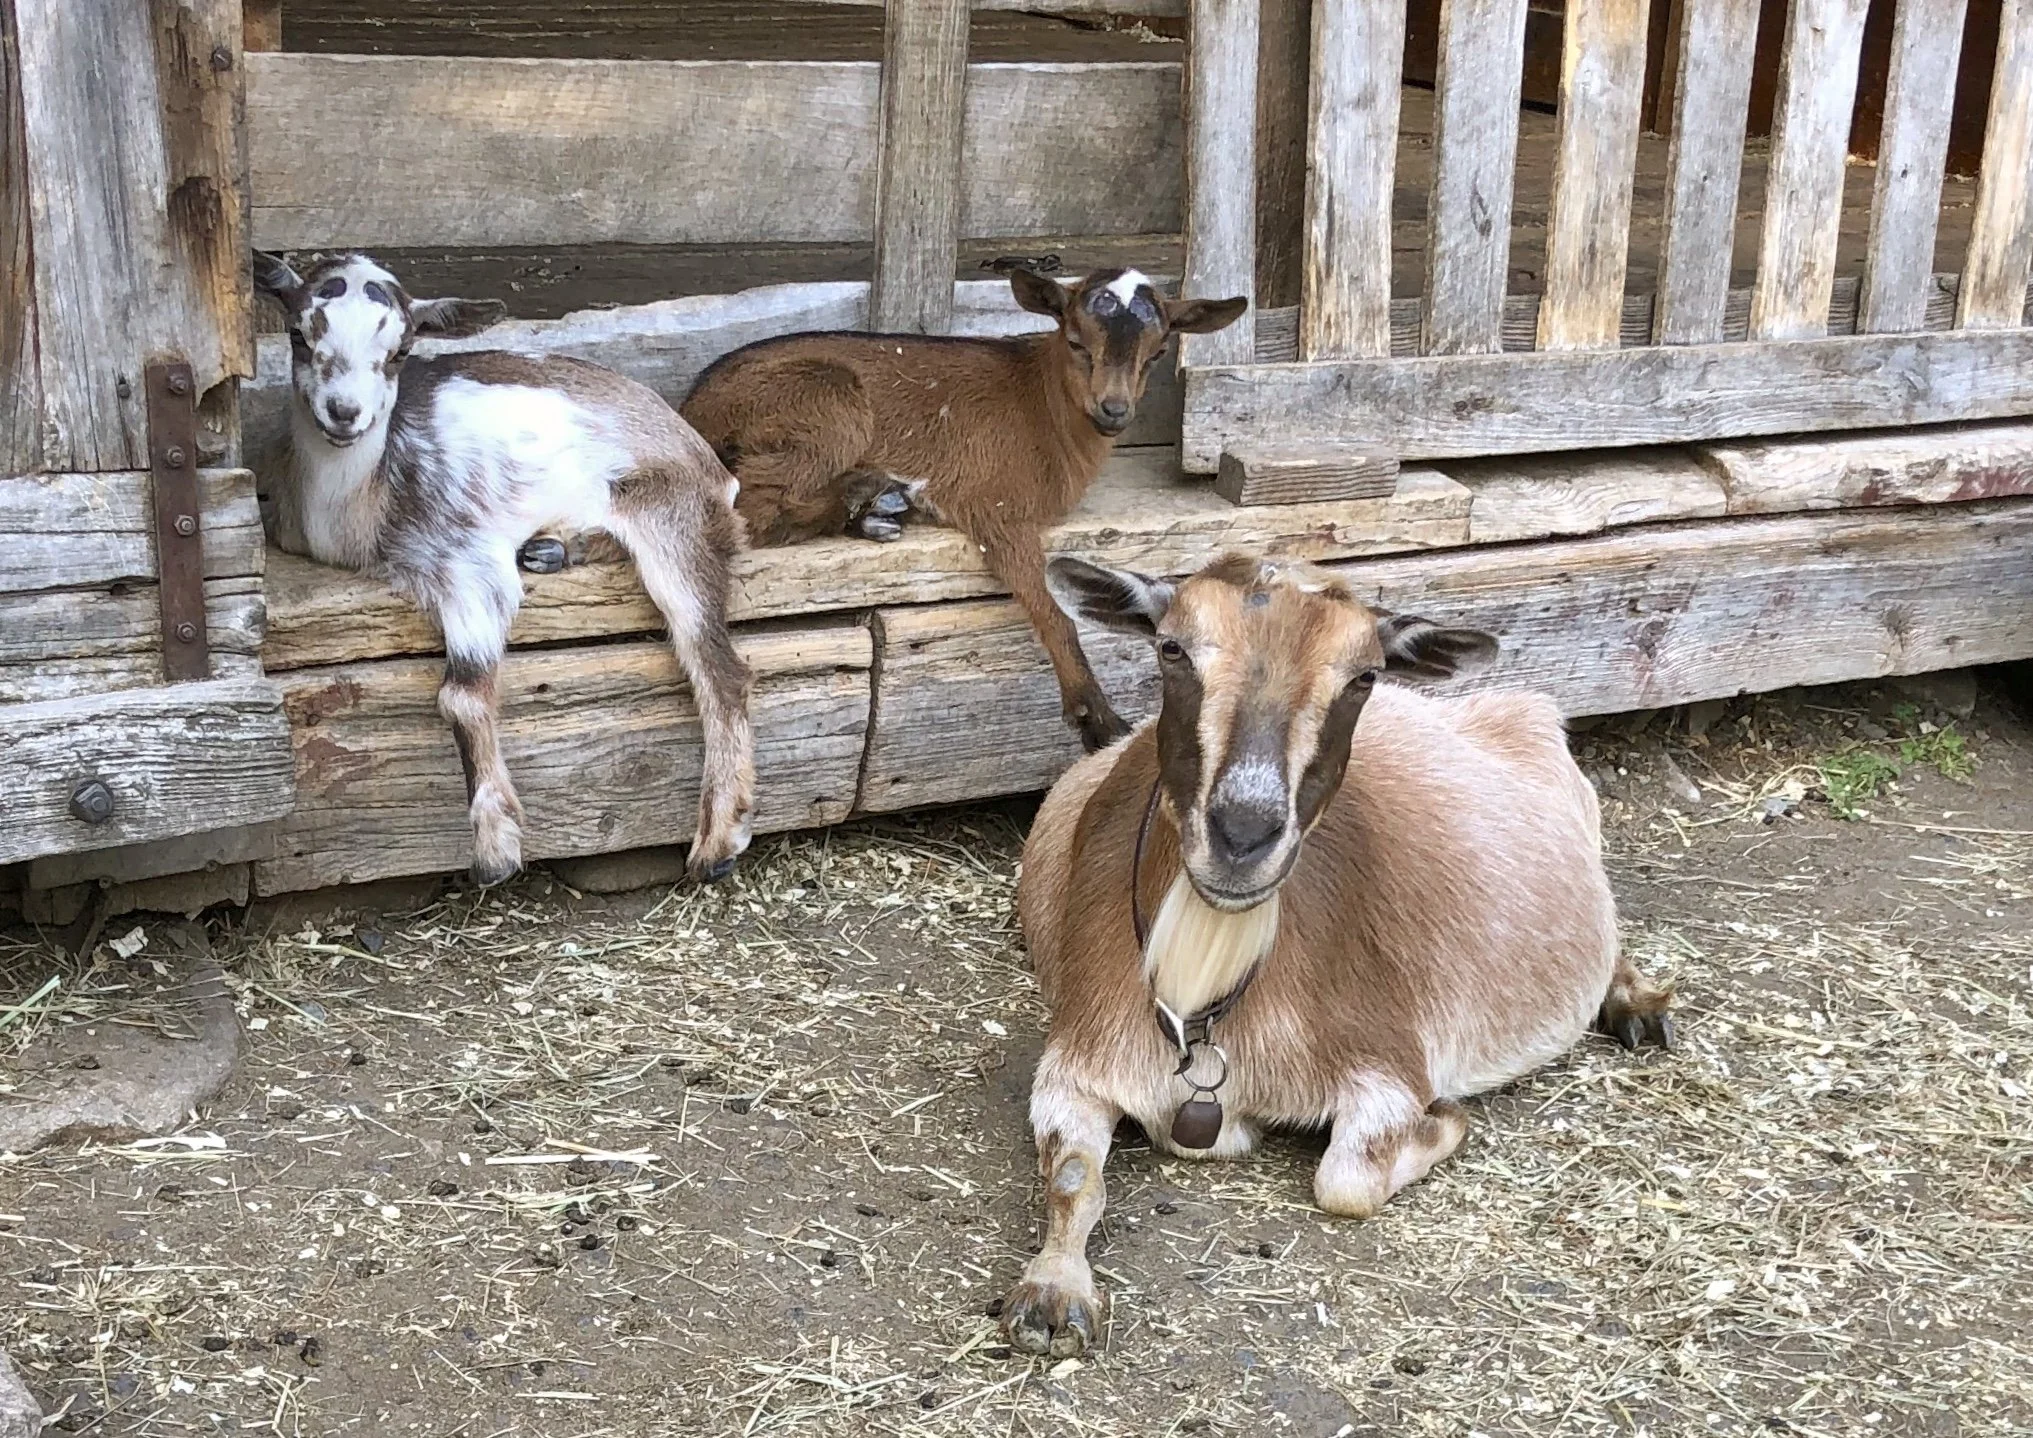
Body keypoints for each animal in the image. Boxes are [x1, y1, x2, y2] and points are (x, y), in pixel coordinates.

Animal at [253, 250, 756, 888]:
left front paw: (496, 850)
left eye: (400, 351)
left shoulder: (471, 561)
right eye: (298, 333)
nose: (345, 413)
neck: (354, 507)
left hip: (670, 514)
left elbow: (461, 695)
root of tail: (709, 460)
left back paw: (717, 845)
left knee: (716, 666)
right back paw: (556, 547)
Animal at [679, 266, 1247, 751]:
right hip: (825, 400)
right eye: (1075, 341)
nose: (1114, 410)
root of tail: (694, 412)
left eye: (1158, 351)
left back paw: (874, 504)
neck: (1041, 406)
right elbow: (1051, 609)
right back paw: (873, 497)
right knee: (752, 505)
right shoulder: (994, 505)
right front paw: (1097, 718)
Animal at [1001, 552, 1673, 1358]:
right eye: (1171, 647)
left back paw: (1638, 1005)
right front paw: (1052, 1295)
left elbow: (1346, 1179)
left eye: (1362, 677)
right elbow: (1073, 1174)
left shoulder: (1384, 1058)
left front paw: (1445, 1121)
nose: (1243, 835)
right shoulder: (1080, 1052)